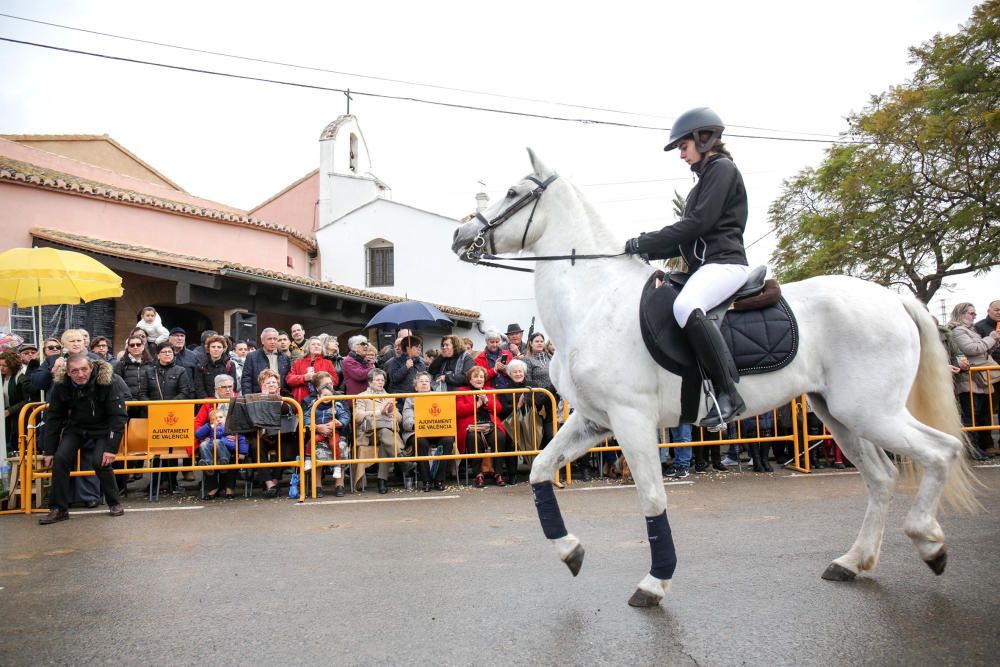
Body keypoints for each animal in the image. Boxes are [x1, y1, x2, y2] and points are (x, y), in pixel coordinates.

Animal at [452, 149, 976, 608]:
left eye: (512, 191)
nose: (460, 235)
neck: (596, 299)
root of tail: (894, 299)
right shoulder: (593, 420)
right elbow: (540, 470)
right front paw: (571, 551)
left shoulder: (630, 419)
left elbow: (652, 497)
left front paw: (654, 583)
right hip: (840, 415)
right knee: (883, 477)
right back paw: (853, 561)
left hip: (872, 412)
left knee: (941, 451)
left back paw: (929, 543)